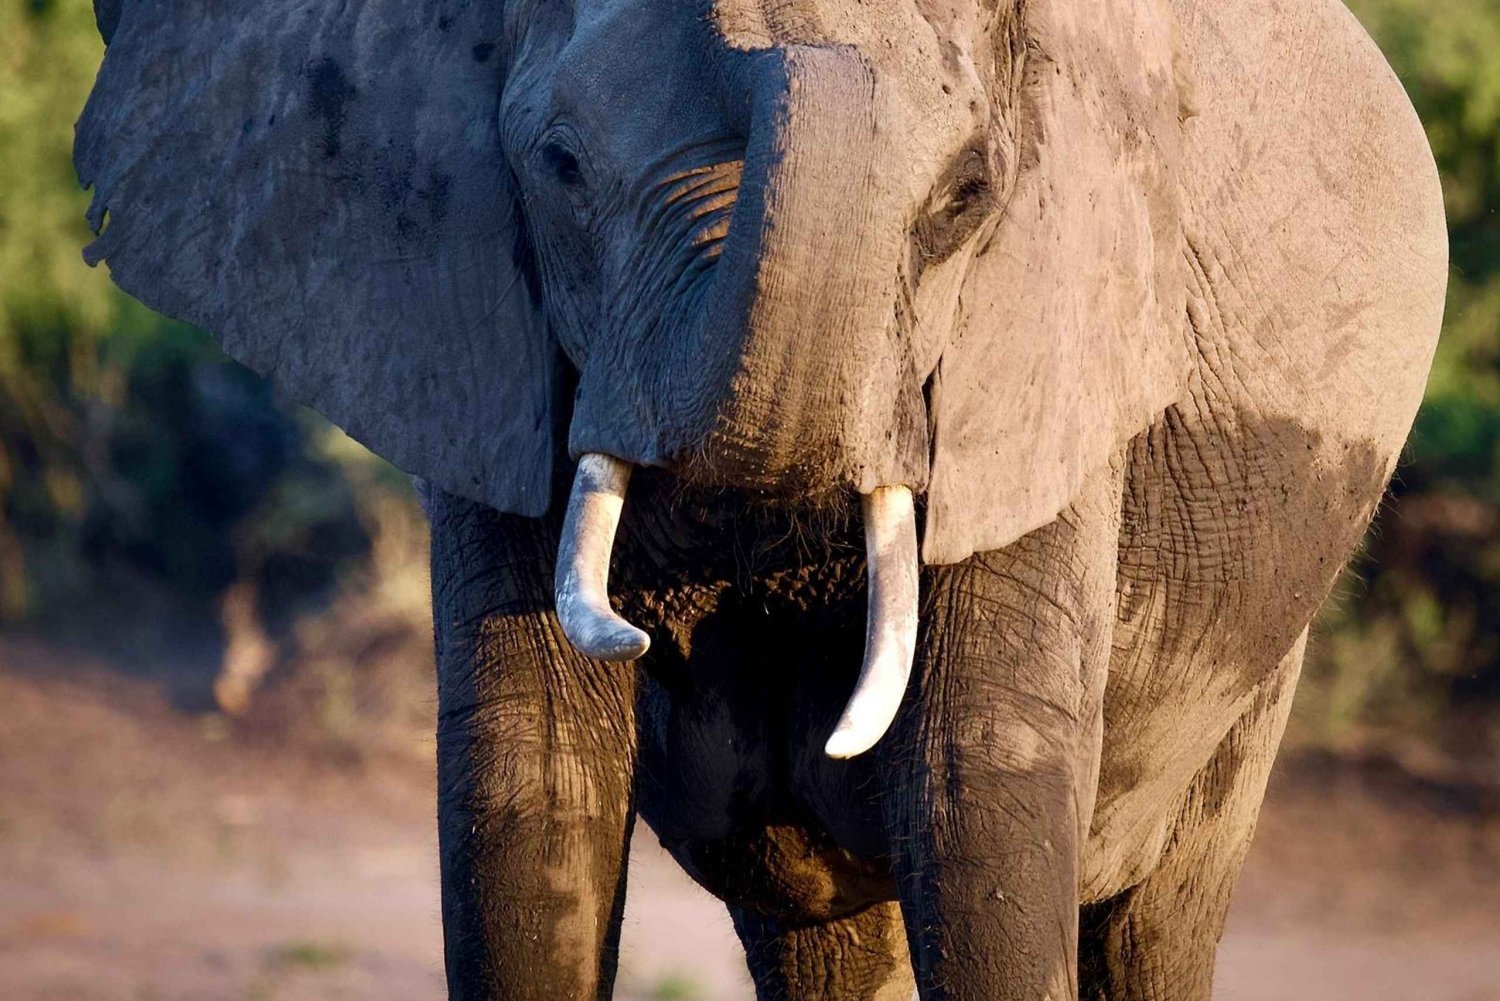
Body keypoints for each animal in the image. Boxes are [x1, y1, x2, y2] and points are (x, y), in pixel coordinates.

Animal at [76, 0, 1446, 996]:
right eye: (560, 169)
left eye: (968, 197)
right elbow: (531, 796)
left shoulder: (1039, 361)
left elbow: (981, 808)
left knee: (1153, 924)